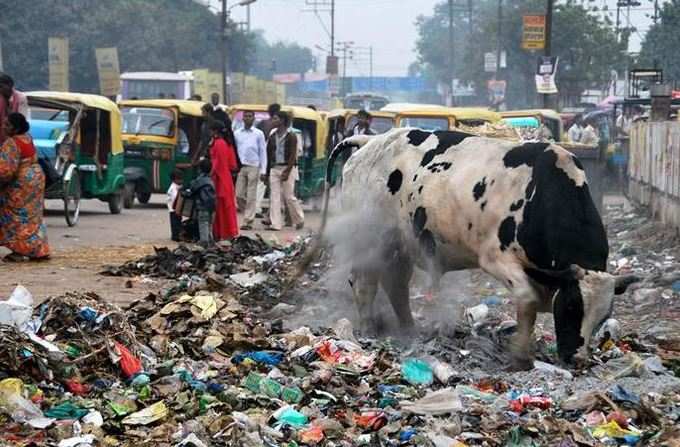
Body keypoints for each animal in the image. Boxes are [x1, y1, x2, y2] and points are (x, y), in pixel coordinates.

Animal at [306, 127, 636, 372]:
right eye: (571, 307)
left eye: (603, 317)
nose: (577, 360)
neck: (543, 196)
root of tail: (369, 142)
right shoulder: (495, 258)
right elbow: (527, 300)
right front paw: (520, 356)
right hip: (372, 241)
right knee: (365, 283)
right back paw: (367, 329)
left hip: (401, 245)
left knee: (396, 285)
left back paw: (409, 330)